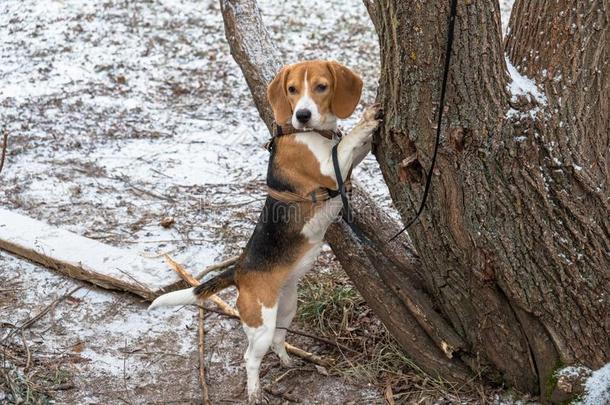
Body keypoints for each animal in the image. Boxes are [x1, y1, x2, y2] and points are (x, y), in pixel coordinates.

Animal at [150, 59, 380, 400]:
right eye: (292, 90)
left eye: (321, 87)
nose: (302, 115)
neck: (313, 133)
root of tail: (239, 271)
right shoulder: (328, 167)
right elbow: (348, 142)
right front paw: (366, 121)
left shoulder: (343, 163)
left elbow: (354, 149)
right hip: (260, 323)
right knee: (251, 357)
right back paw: (255, 391)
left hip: (286, 308)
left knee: (278, 340)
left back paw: (287, 363)